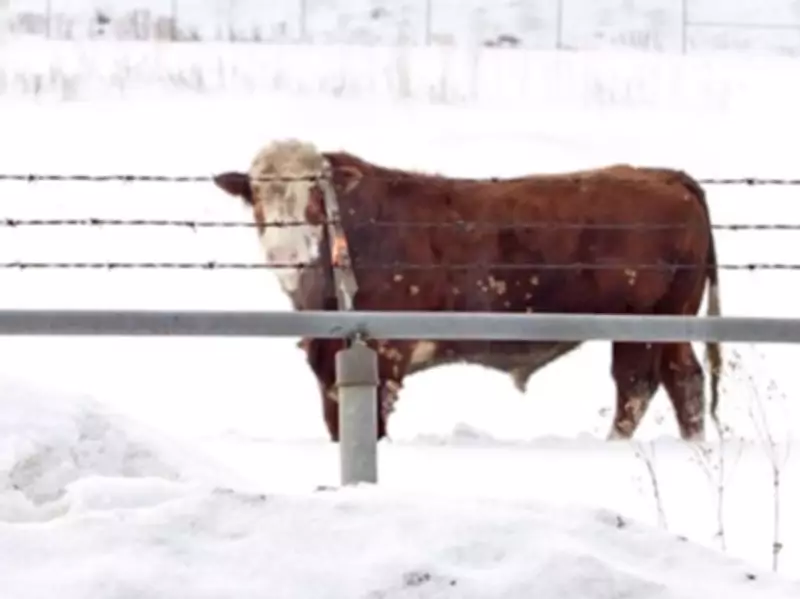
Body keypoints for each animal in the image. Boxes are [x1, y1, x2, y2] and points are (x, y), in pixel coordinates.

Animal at [212, 138, 722, 444]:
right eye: (257, 199)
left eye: (316, 199)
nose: (288, 251)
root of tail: (664, 174)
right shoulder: (327, 361)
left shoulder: (384, 354)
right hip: (672, 322)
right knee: (684, 380)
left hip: (645, 325)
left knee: (637, 386)